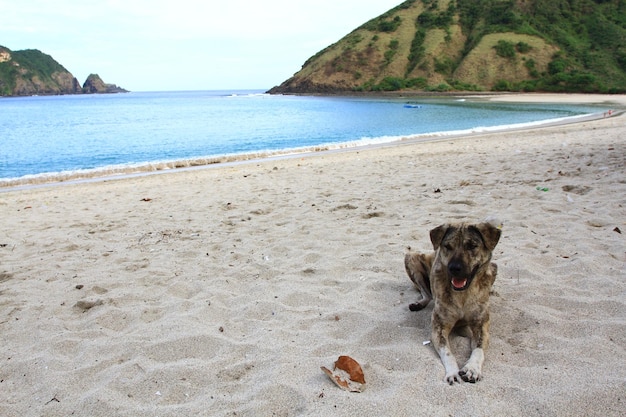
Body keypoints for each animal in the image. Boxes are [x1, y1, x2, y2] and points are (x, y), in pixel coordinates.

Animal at [402, 221, 500, 384]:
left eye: (472, 246)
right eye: (448, 246)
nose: (454, 268)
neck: (462, 294)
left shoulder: (481, 327)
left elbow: (478, 350)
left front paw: (472, 369)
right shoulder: (439, 328)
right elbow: (448, 353)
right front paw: (453, 373)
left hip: (494, 267)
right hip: (411, 257)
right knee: (427, 293)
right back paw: (419, 303)